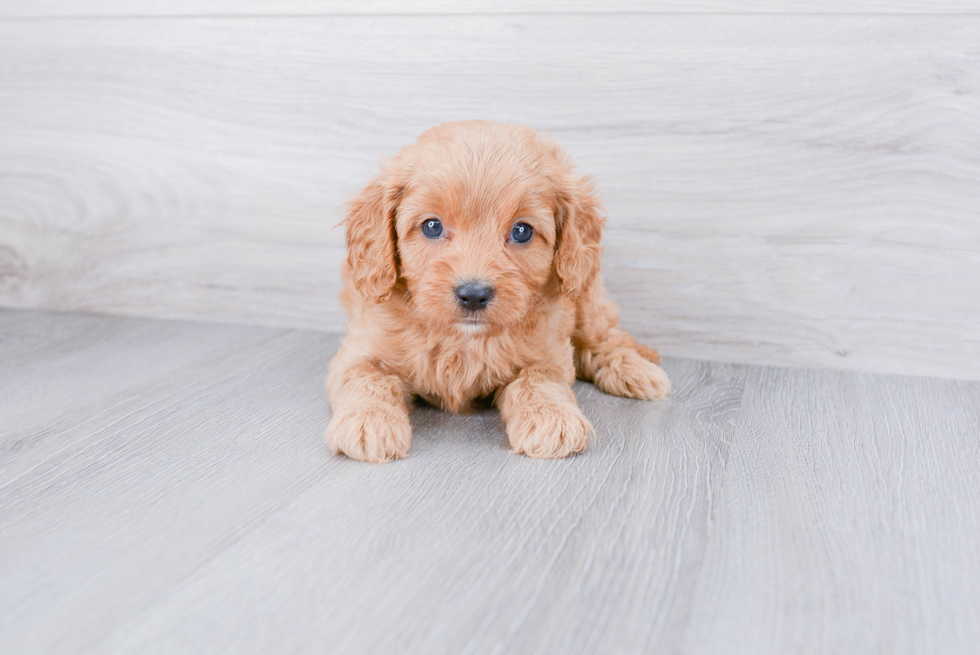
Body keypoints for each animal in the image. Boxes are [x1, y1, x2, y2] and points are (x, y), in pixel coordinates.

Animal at [326, 120, 668, 464]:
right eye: (432, 227)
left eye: (522, 231)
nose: (473, 294)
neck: (462, 339)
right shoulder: (359, 350)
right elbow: (368, 379)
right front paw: (368, 422)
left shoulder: (547, 353)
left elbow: (538, 379)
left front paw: (551, 418)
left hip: (585, 294)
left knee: (604, 338)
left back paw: (636, 369)